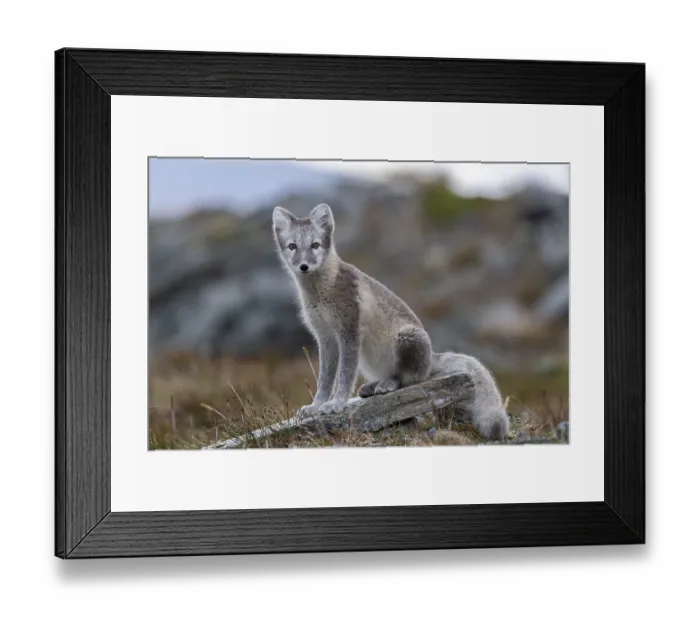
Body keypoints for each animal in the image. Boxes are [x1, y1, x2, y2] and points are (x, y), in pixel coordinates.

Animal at [272, 203, 510, 441]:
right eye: (292, 246)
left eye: (315, 245)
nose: (304, 266)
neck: (320, 292)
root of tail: (432, 357)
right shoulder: (325, 338)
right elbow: (325, 379)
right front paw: (315, 406)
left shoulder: (349, 332)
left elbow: (345, 376)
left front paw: (336, 404)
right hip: (367, 358)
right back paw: (372, 387)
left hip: (406, 338)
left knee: (410, 379)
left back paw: (388, 384)